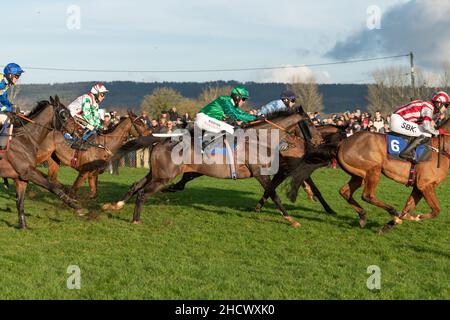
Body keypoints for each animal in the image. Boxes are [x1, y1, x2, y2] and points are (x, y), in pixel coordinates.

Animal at [0, 96, 83, 229]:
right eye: (64, 114)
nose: (80, 130)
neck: (25, 139)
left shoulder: (21, 178)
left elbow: (20, 202)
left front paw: (23, 226)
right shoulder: (28, 172)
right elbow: (52, 187)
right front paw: (75, 205)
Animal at [103, 107, 336, 228]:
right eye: (310, 123)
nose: (319, 140)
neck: (259, 138)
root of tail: (160, 140)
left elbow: (272, 192)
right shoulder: (259, 172)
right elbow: (274, 194)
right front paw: (290, 219)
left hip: (157, 173)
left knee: (135, 185)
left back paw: (115, 205)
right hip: (163, 177)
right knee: (143, 193)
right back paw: (135, 220)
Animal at [312, 116, 450, 234]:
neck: (440, 149)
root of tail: (343, 142)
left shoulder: (419, 186)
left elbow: (408, 207)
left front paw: (390, 225)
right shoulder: (425, 185)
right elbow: (436, 210)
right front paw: (415, 217)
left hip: (359, 175)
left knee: (345, 191)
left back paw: (363, 216)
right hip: (374, 169)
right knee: (367, 196)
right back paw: (391, 210)